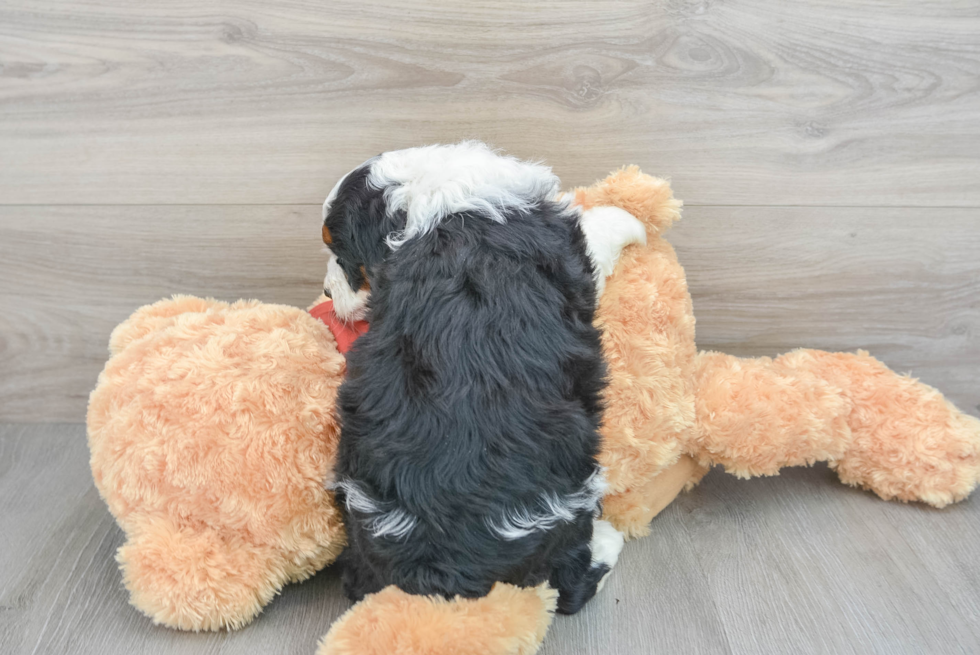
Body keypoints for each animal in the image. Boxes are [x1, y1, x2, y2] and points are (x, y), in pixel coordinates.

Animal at [322, 142, 644, 616]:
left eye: (341, 253)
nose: (328, 294)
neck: (438, 205)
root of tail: (444, 569)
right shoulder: (570, 252)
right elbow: (597, 228)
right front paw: (628, 220)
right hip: (573, 485)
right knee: (567, 583)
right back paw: (606, 543)